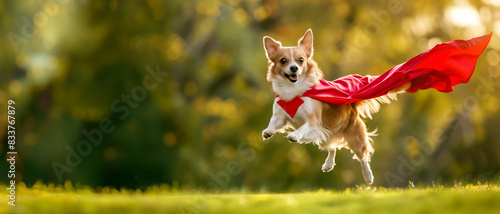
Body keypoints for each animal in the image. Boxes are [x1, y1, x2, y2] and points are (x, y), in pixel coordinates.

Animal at [260, 29, 408, 185]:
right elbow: (272, 122)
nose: (294, 68)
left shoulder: (313, 122)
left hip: (355, 140)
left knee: (362, 157)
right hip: (327, 134)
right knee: (332, 146)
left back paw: (368, 176)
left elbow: (302, 128)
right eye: (283, 60)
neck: (292, 90)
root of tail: (352, 107)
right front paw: (268, 131)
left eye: (301, 60)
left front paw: (294, 135)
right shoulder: (280, 116)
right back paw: (328, 164)